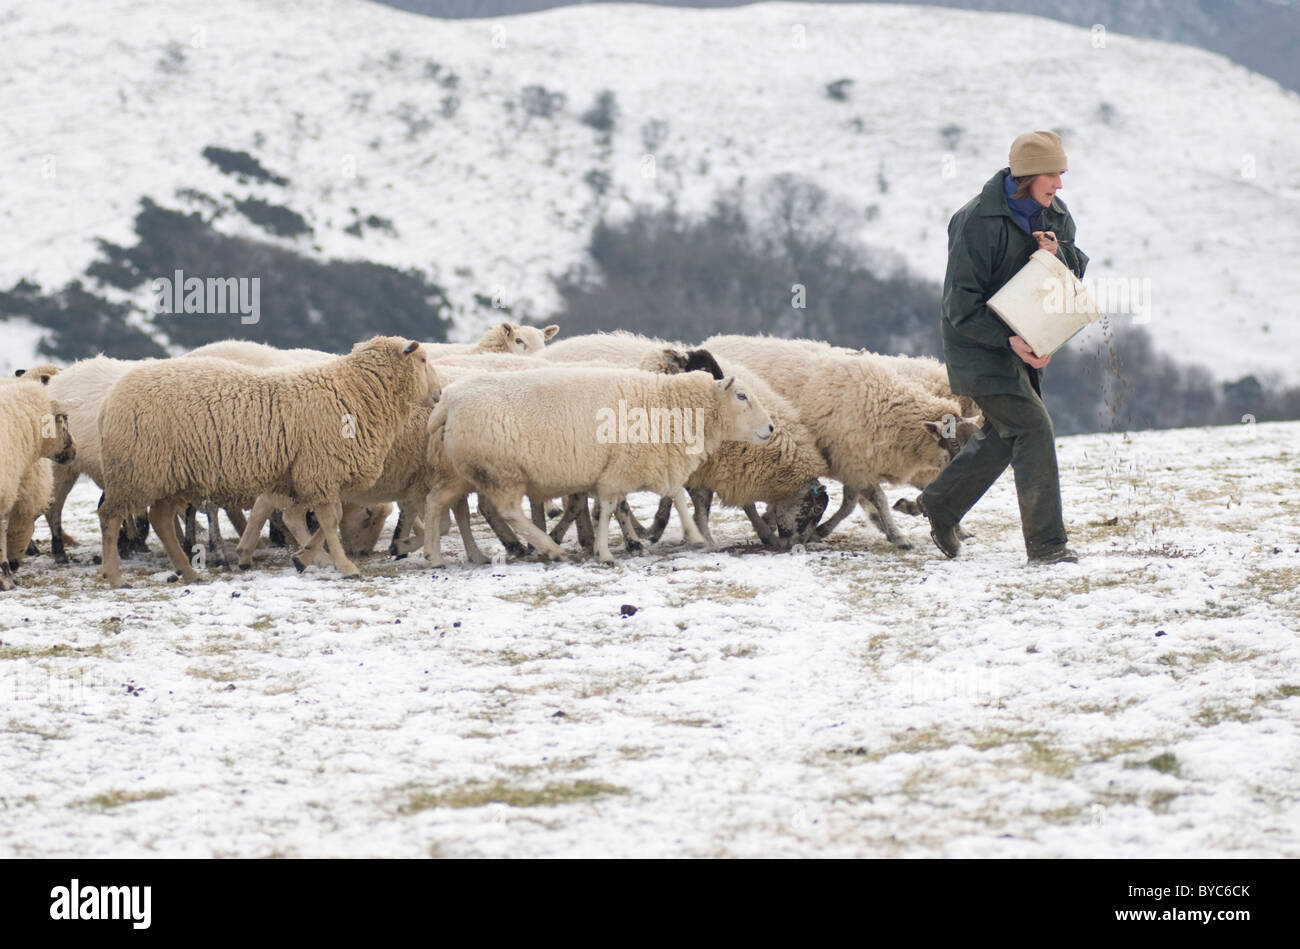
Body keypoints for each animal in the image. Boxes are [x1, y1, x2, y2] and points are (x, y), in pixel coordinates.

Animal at [97, 332, 441, 585]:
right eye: (423, 359)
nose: (439, 394)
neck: (353, 392)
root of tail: (110, 400)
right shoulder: (320, 470)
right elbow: (331, 521)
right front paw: (346, 567)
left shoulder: (314, 475)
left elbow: (331, 518)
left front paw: (303, 557)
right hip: (135, 471)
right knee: (110, 518)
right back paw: (116, 577)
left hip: (169, 475)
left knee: (160, 520)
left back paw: (190, 572)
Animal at [423, 366, 769, 561]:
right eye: (741, 396)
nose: (770, 428)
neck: (669, 405)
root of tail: (447, 403)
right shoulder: (626, 467)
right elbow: (614, 508)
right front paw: (606, 552)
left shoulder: (636, 465)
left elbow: (657, 500)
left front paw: (692, 538)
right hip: (501, 471)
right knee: (508, 510)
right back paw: (550, 548)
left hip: (461, 472)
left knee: (436, 502)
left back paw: (435, 556)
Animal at [702, 335, 977, 551]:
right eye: (954, 444)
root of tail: (711, 341)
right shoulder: (856, 463)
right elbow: (876, 500)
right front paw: (899, 535)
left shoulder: (855, 466)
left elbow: (851, 504)